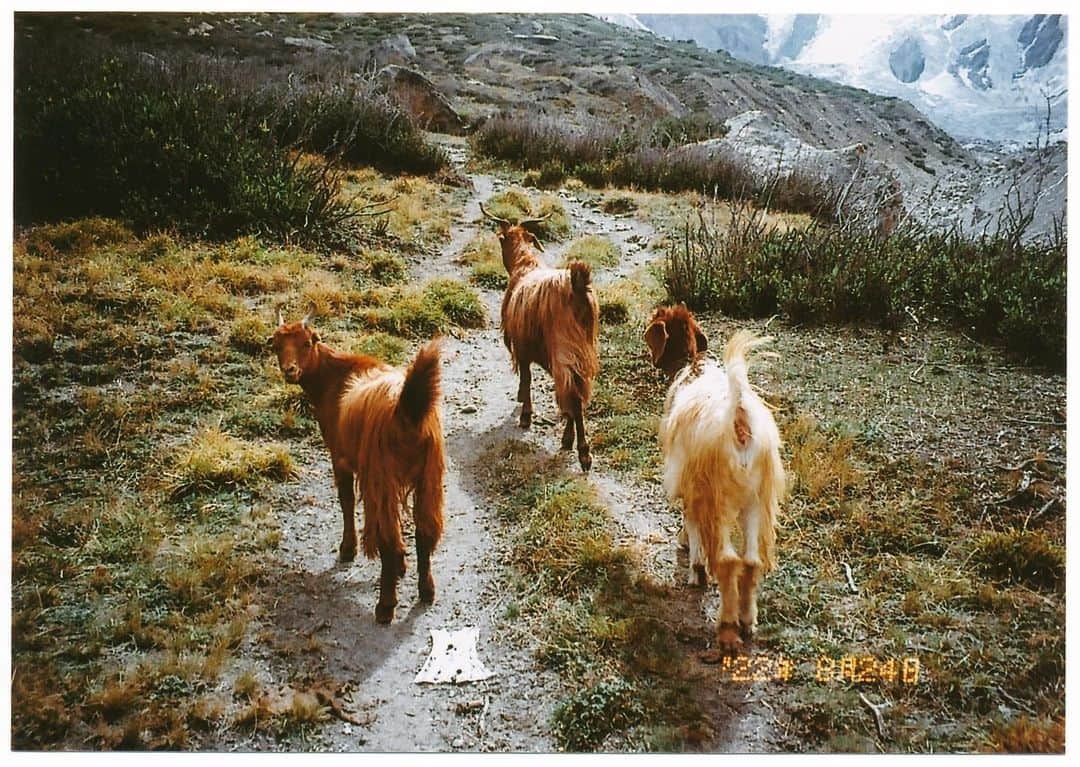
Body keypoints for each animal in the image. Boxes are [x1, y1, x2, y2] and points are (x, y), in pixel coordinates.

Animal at [272, 308, 444, 626]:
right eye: (276, 345)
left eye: (306, 343)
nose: (290, 370)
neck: (335, 377)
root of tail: (408, 410)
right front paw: (402, 568)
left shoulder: (340, 456)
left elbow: (346, 500)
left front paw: (347, 549)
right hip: (429, 477)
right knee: (424, 533)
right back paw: (426, 590)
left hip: (381, 477)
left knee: (388, 540)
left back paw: (385, 606)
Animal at [481, 200, 600, 471]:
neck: (524, 265)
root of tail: (576, 284)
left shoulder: (521, 347)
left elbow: (526, 379)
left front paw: (525, 415)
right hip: (580, 352)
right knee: (576, 393)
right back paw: (570, 441)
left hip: (564, 350)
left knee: (572, 397)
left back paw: (583, 452)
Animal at [639, 306, 786, 656]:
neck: (691, 369)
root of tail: (739, 421)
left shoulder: (690, 481)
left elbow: (689, 522)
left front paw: (694, 568)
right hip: (757, 500)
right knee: (751, 561)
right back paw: (747, 621)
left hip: (717, 497)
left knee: (728, 560)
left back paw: (728, 630)